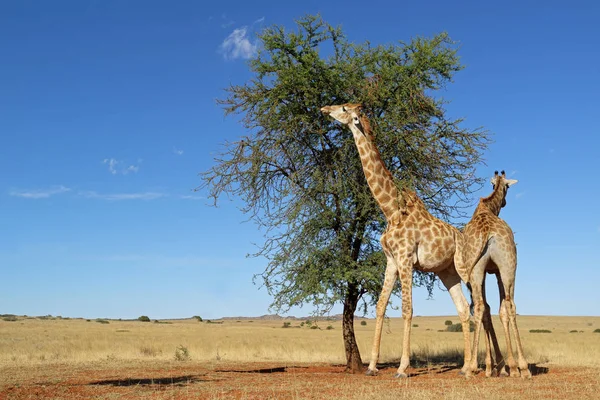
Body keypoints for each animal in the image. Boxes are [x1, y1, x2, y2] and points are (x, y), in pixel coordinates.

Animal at [318, 103, 474, 378]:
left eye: (344, 108)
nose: (325, 108)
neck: (390, 210)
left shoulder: (406, 259)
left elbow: (407, 309)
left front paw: (402, 368)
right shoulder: (391, 261)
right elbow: (380, 306)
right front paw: (371, 367)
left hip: (465, 268)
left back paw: (482, 367)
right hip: (448, 272)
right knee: (464, 309)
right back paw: (465, 368)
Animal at [458, 170, 532, 378]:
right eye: (507, 187)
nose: (505, 202)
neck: (487, 208)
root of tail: (487, 232)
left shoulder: (487, 272)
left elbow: (489, 310)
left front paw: (494, 366)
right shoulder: (494, 272)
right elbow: (495, 309)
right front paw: (500, 366)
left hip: (480, 270)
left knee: (483, 306)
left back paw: (473, 368)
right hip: (507, 266)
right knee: (509, 304)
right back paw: (522, 368)